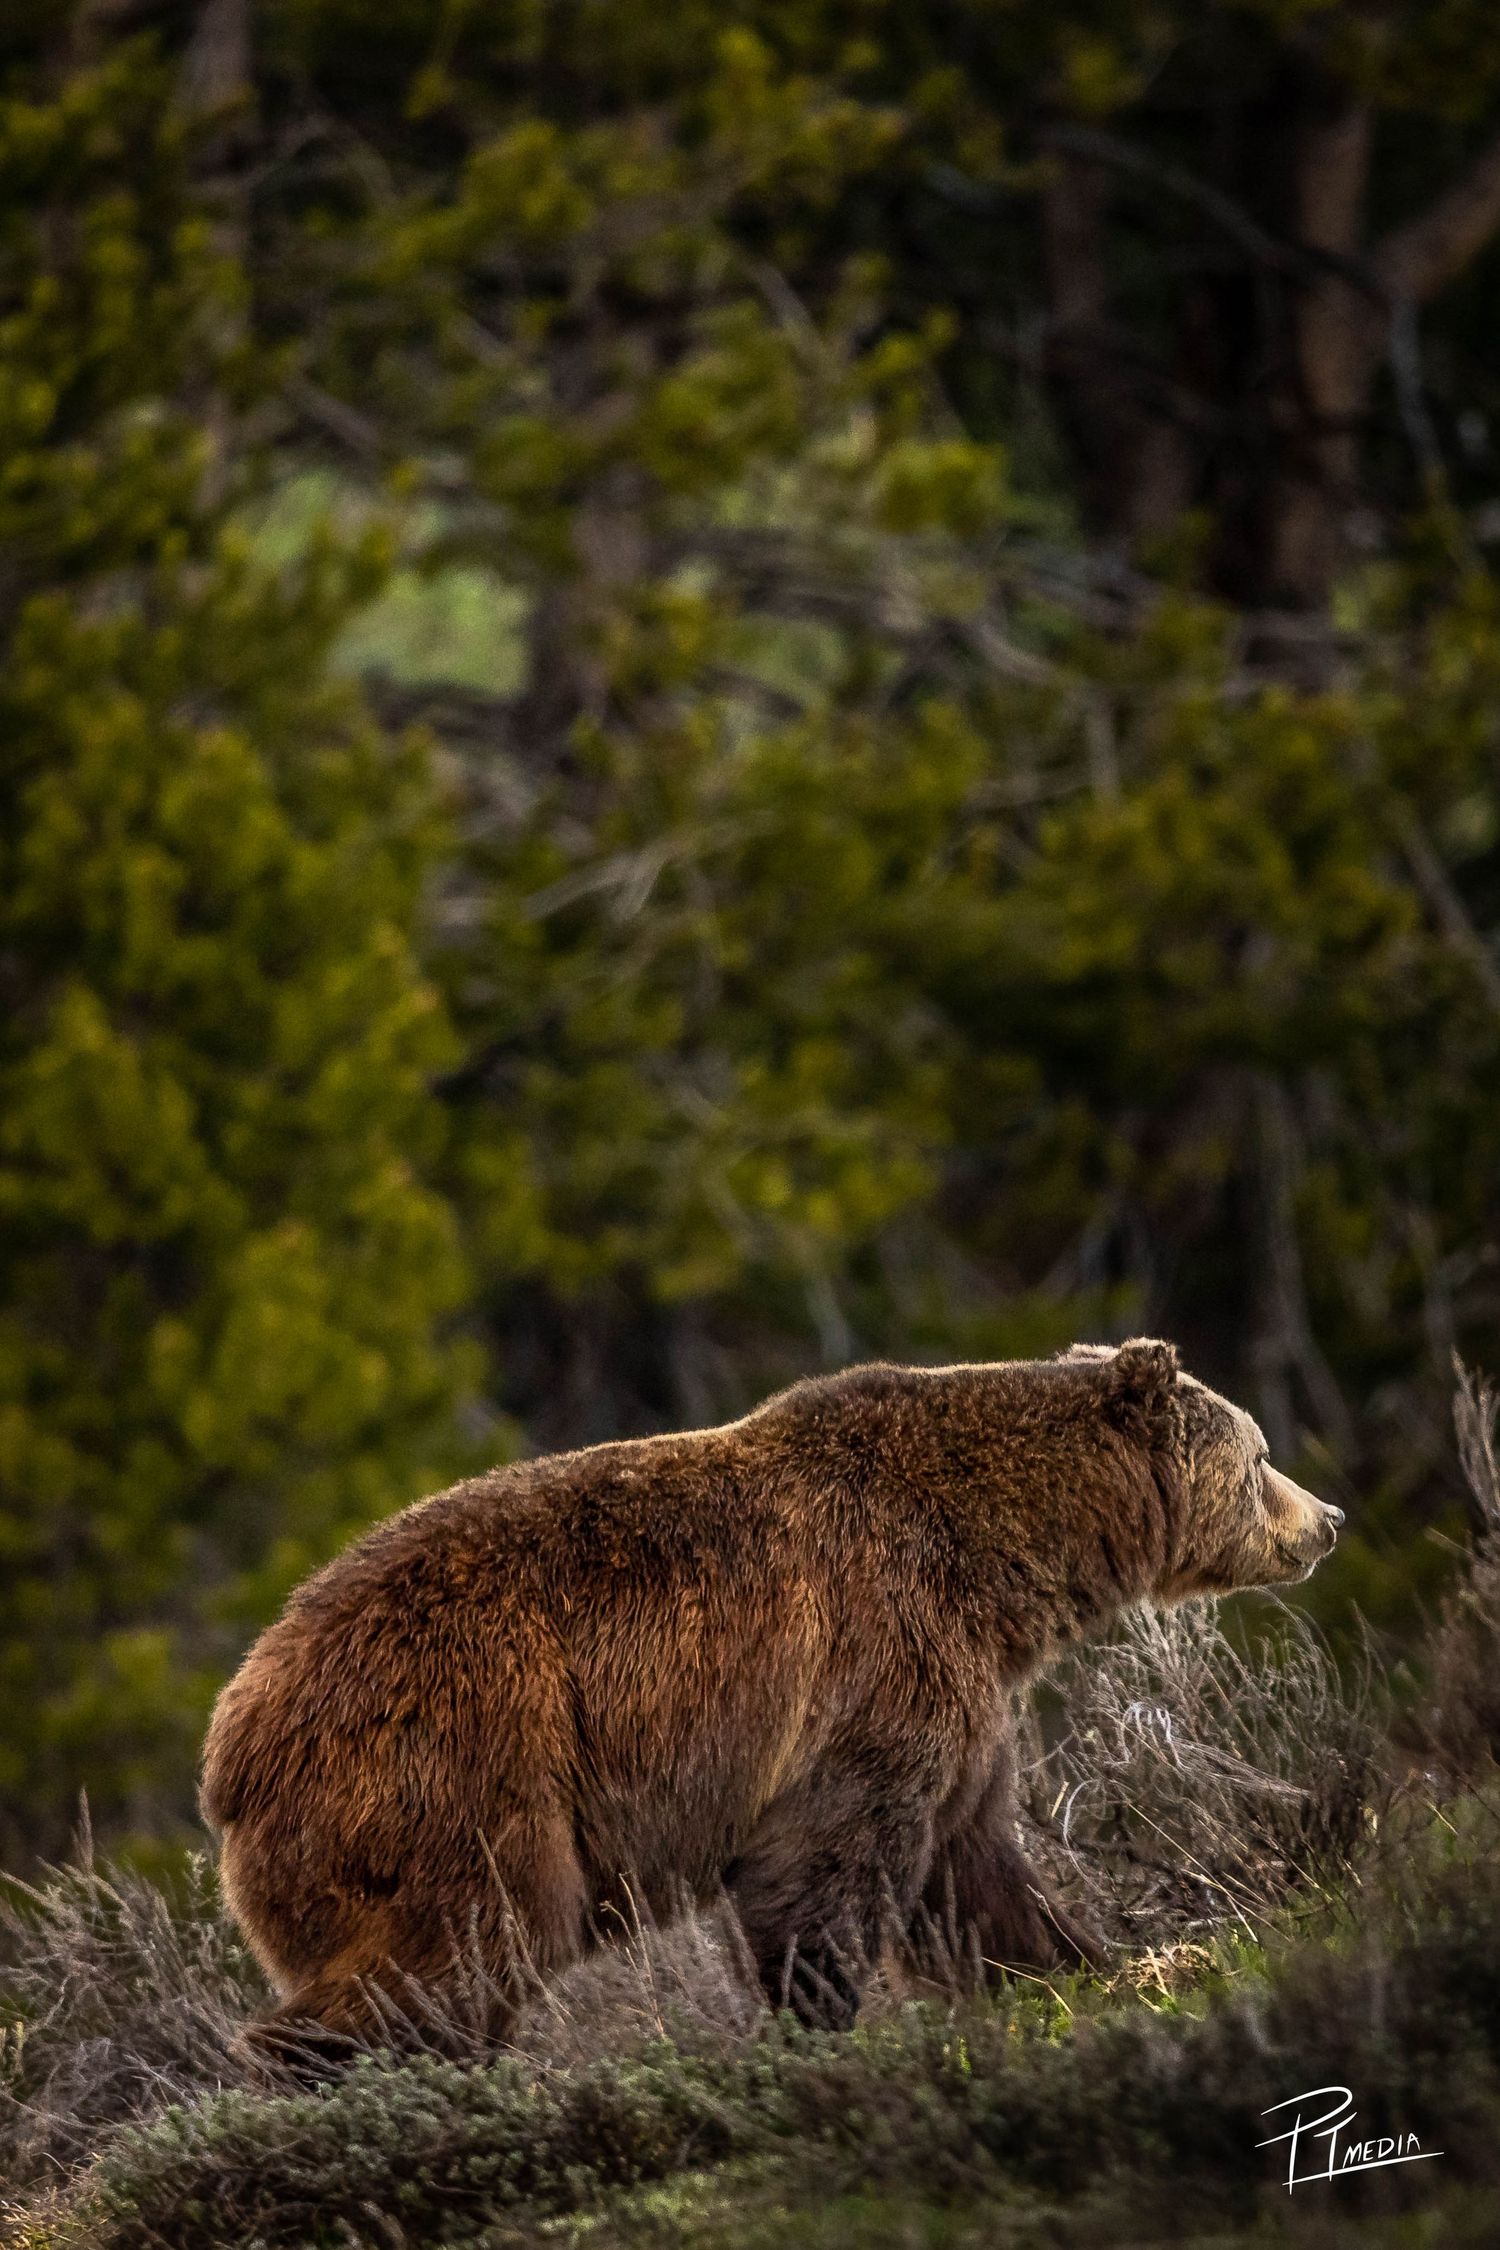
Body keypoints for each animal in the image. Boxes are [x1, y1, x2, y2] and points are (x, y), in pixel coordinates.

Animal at [200, 1338, 1343, 2048]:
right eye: (1260, 1454)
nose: (1328, 1518)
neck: (1004, 1562)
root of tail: (233, 1741)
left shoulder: (964, 1697)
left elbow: (973, 1863)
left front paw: (1077, 1963)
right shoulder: (870, 1656)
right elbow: (831, 1861)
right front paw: (820, 2020)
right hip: (457, 1769)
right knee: (463, 1947)